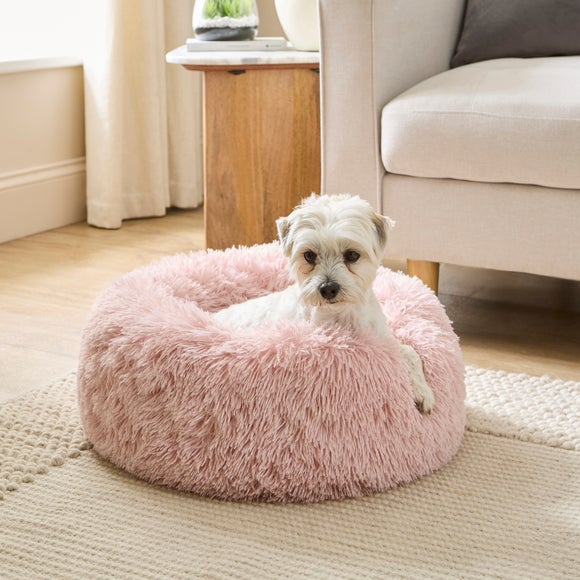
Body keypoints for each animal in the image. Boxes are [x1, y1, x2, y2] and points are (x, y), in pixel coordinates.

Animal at [215, 195, 432, 412]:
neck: (342, 314)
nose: (328, 288)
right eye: (309, 255)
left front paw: (422, 390)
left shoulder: (383, 339)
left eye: (352, 255)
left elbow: (411, 352)